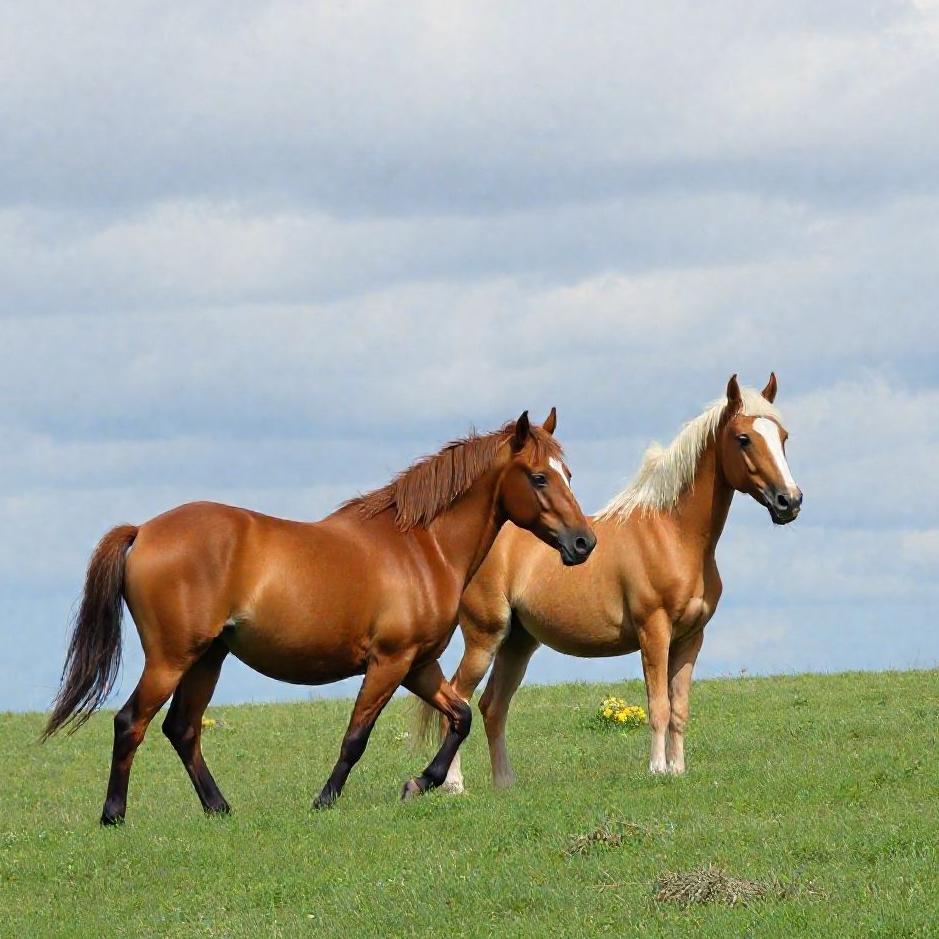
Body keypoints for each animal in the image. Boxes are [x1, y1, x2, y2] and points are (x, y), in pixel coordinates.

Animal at [43, 410, 596, 824]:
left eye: (568, 475)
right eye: (540, 477)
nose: (583, 543)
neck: (422, 547)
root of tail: (143, 531)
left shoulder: (419, 664)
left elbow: (458, 716)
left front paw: (419, 782)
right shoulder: (389, 662)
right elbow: (356, 736)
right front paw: (326, 799)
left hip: (208, 658)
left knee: (182, 728)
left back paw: (219, 808)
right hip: (171, 658)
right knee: (131, 722)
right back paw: (114, 815)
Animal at [416, 374, 802, 791]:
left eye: (782, 436)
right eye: (744, 438)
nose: (790, 501)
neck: (672, 535)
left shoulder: (690, 638)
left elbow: (679, 708)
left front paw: (678, 769)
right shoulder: (655, 630)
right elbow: (658, 705)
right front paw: (657, 769)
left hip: (518, 643)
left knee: (492, 706)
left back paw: (505, 782)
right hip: (485, 637)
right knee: (458, 699)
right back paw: (455, 785)